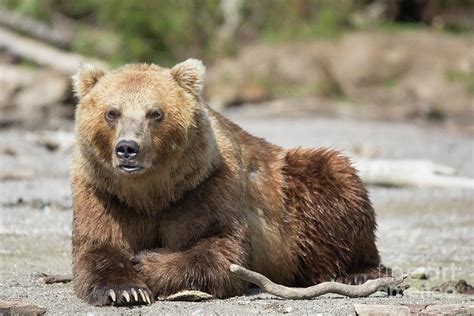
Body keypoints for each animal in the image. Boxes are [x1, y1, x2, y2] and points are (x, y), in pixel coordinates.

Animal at [70, 59, 388, 306]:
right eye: (112, 112)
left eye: (155, 113)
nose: (128, 148)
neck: (152, 193)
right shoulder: (104, 193)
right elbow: (98, 244)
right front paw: (125, 290)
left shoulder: (206, 187)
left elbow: (222, 248)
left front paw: (146, 263)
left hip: (296, 187)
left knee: (335, 178)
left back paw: (360, 272)